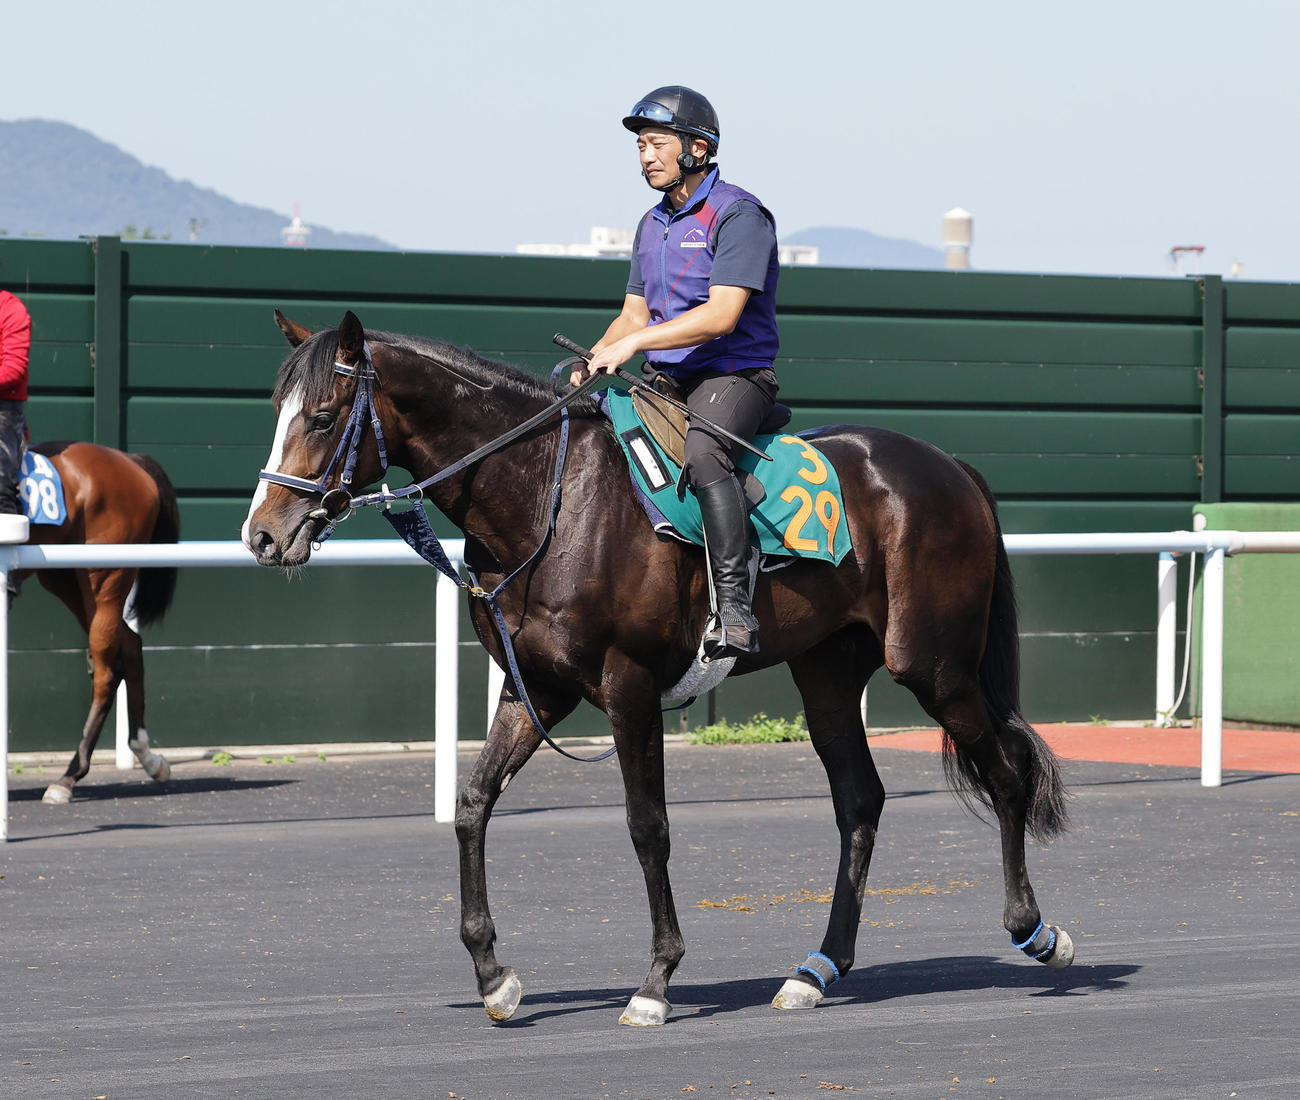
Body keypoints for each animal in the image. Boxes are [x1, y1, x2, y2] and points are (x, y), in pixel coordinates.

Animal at [12, 441, 180, 804]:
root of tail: (130, 460)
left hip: (104, 576)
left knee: (106, 673)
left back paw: (68, 777)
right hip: (65, 579)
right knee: (129, 645)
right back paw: (147, 756)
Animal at [243, 310, 1073, 1027]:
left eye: (322, 417)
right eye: (277, 410)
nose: (261, 536)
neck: (550, 495)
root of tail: (948, 466)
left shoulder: (630, 688)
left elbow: (648, 826)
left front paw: (655, 982)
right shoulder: (535, 689)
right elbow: (474, 805)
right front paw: (494, 976)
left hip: (935, 666)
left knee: (1005, 772)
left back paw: (1035, 930)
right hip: (829, 675)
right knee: (860, 801)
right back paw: (817, 970)